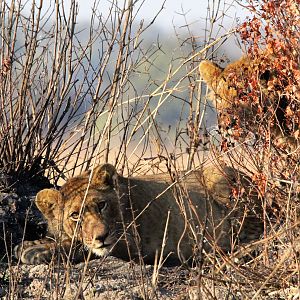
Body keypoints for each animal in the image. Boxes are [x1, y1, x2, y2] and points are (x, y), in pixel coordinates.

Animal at [15, 164, 239, 264]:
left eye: (102, 205)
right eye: (75, 215)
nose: (101, 237)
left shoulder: (133, 245)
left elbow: (79, 246)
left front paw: (37, 251)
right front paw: (30, 244)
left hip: (219, 175)